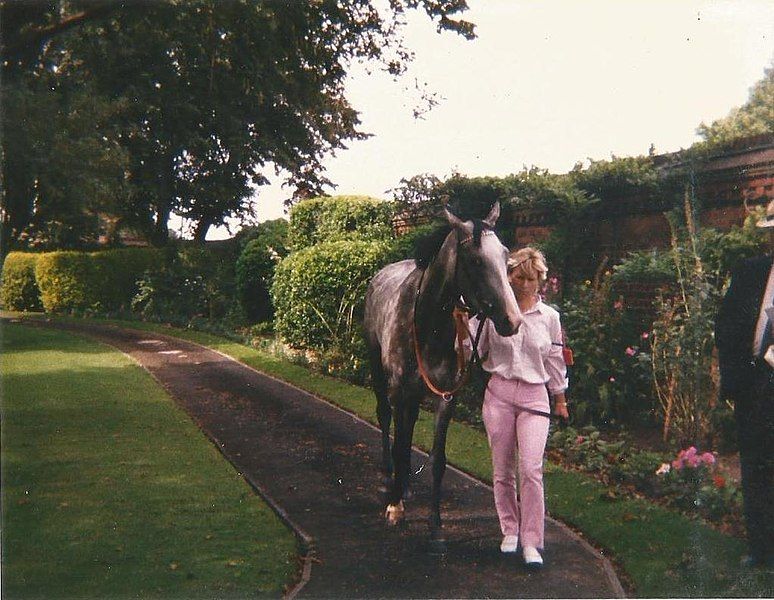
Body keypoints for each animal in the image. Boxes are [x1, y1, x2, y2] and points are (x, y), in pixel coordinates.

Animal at [364, 203, 520, 552]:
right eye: (475, 260)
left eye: (506, 255)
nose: (512, 321)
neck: (426, 324)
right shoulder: (399, 392)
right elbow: (400, 443)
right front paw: (395, 508)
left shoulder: (446, 396)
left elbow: (437, 460)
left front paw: (435, 527)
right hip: (379, 372)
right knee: (385, 419)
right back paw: (391, 477)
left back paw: (405, 485)